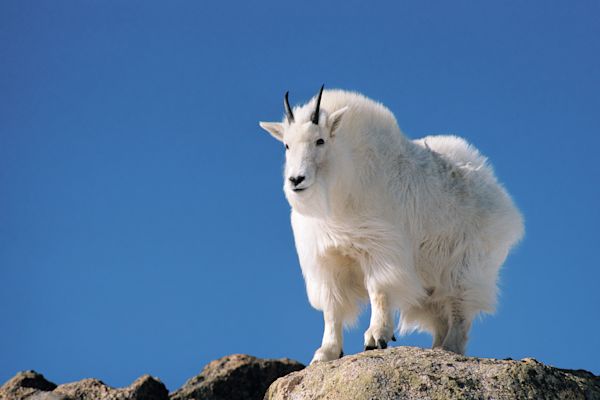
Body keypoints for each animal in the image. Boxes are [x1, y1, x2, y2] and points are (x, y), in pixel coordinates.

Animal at [260, 86, 524, 362]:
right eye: (286, 145)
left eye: (320, 140)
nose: (296, 180)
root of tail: (503, 202)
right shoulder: (327, 260)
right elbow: (332, 309)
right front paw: (326, 353)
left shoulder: (381, 249)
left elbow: (379, 291)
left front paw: (376, 338)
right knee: (441, 318)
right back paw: (437, 348)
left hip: (465, 268)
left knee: (460, 311)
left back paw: (450, 348)